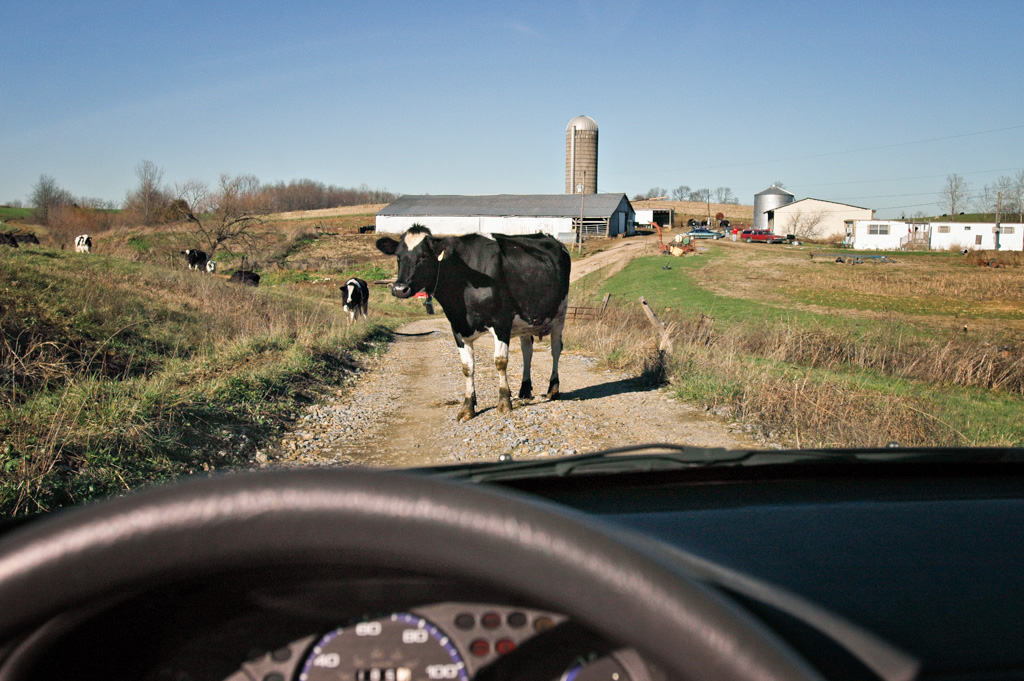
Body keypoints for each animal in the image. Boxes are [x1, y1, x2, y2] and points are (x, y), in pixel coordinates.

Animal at [376, 224, 570, 422]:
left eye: (423, 256)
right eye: (398, 257)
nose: (400, 289)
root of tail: (550, 238)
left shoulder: (501, 322)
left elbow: (500, 362)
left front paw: (504, 403)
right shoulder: (458, 328)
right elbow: (467, 368)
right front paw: (468, 407)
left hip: (560, 314)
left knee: (556, 349)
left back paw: (553, 388)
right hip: (526, 321)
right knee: (527, 350)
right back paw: (524, 390)